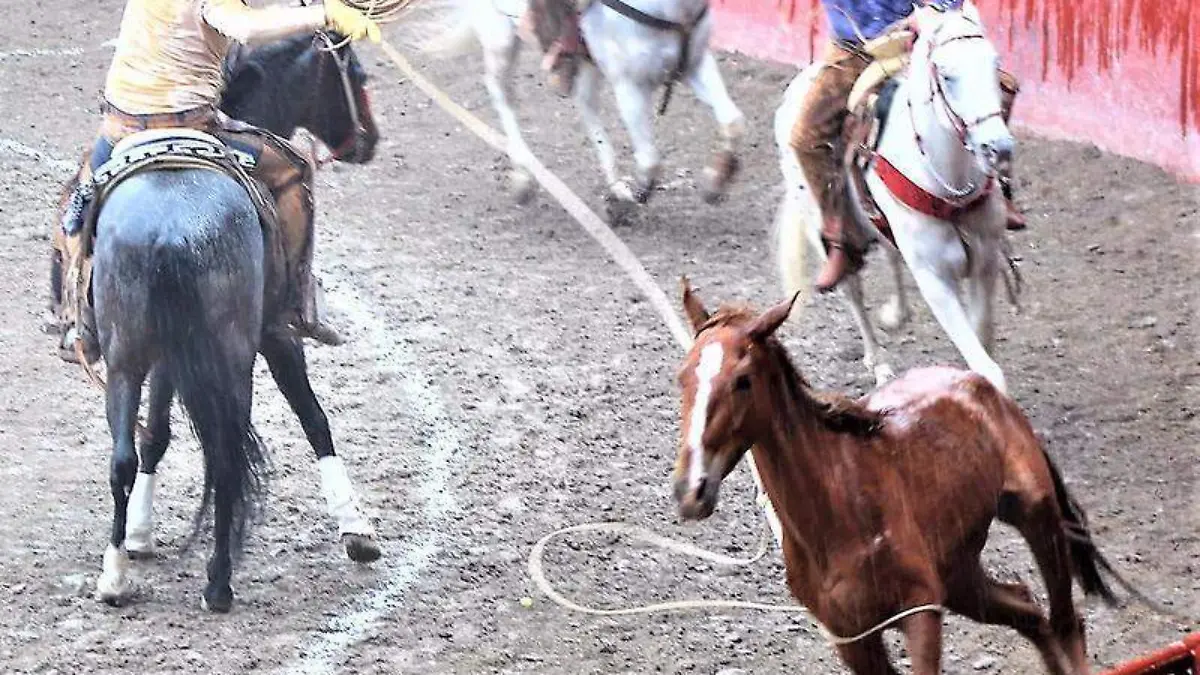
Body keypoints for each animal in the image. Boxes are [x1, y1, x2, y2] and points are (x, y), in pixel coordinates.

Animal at [89, 32, 381, 613]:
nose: (371, 140)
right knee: (225, 454)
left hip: (126, 357)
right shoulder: (276, 335)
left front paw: (139, 535)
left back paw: (114, 577)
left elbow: (154, 437)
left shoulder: (168, 355)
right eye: (356, 73)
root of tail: (170, 226)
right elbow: (315, 419)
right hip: (231, 355)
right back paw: (219, 581)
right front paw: (355, 529)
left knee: (122, 457)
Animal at [422, 0, 745, 208]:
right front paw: (634, 197)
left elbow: (733, 120)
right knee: (502, 95)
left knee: (586, 107)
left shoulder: (695, 64)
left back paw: (615, 186)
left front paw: (717, 179)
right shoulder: (629, 84)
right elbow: (650, 159)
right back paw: (524, 177)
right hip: (499, 37)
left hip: (586, 63)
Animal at [671, 280, 1133, 674]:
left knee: (1065, 622)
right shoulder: (853, 639)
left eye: (742, 381)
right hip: (960, 575)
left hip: (1038, 518)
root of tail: (982, 387)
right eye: (682, 376)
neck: (838, 513)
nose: (691, 489)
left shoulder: (920, 613)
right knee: (1030, 613)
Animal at [774, 3, 1014, 391]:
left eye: (993, 64)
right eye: (946, 75)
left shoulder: (985, 262)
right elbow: (985, 365)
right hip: (823, 229)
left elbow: (983, 345)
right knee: (853, 289)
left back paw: (896, 315)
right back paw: (879, 364)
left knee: (889, 253)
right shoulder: (934, 279)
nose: (999, 148)